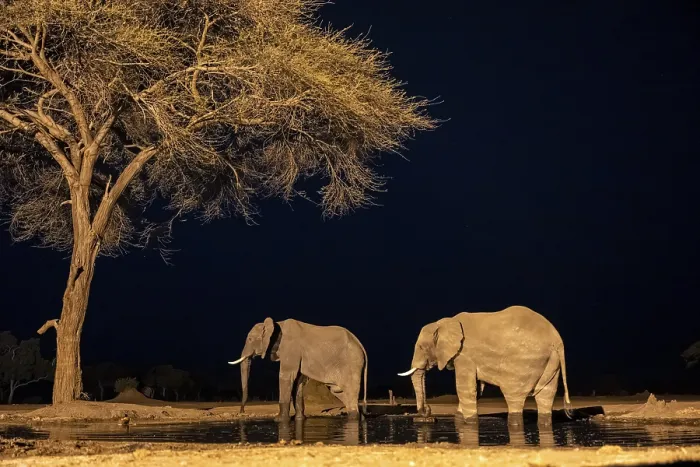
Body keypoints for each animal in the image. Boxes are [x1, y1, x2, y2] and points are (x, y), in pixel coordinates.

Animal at [228, 317, 368, 421]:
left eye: (250, 339)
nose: (242, 411)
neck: (277, 324)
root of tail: (361, 345)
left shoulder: (291, 348)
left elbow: (285, 376)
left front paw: (279, 420)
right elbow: (298, 381)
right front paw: (299, 419)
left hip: (351, 363)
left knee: (349, 391)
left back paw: (353, 418)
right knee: (339, 392)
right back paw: (359, 417)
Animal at [398, 305, 573, 426]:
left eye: (421, 347)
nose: (428, 413)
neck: (445, 322)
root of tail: (557, 340)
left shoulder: (465, 355)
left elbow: (465, 388)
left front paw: (469, 423)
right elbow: (476, 390)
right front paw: (460, 420)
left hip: (523, 363)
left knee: (514, 397)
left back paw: (514, 424)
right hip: (551, 361)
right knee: (545, 396)